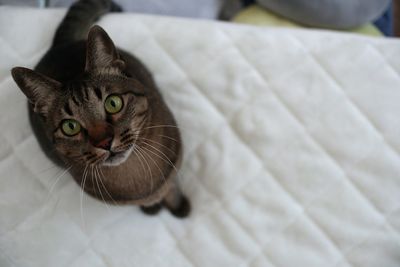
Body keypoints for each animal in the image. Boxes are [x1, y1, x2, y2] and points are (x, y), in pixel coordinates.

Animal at [10, 0, 190, 218]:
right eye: (70, 127)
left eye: (113, 103)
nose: (104, 142)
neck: (134, 172)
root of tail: (60, 45)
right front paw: (152, 207)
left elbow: (172, 187)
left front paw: (177, 205)